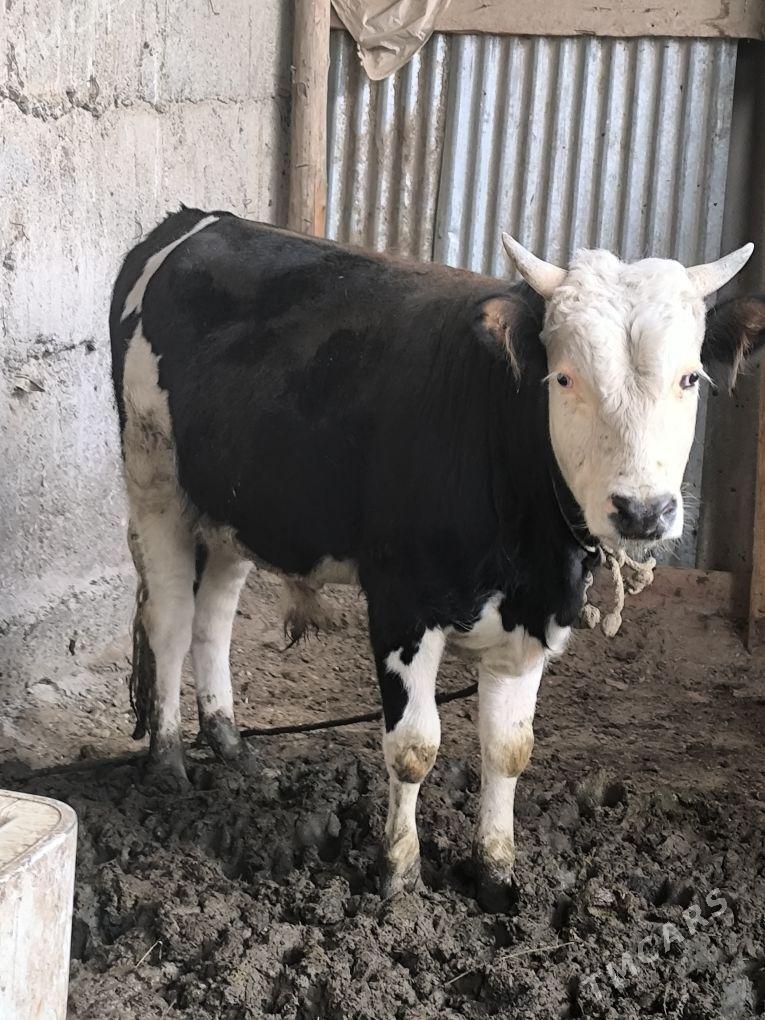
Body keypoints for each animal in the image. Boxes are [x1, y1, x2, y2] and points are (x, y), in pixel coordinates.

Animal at [109, 208, 765, 902]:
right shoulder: (402, 605)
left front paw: (496, 874)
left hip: (235, 506)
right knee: (171, 621)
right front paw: (399, 873)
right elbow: (414, 747)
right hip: (154, 478)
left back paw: (231, 745)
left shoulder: (535, 616)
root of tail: (199, 221)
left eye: (690, 378)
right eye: (564, 378)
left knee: (214, 620)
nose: (642, 510)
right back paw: (168, 761)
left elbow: (509, 748)